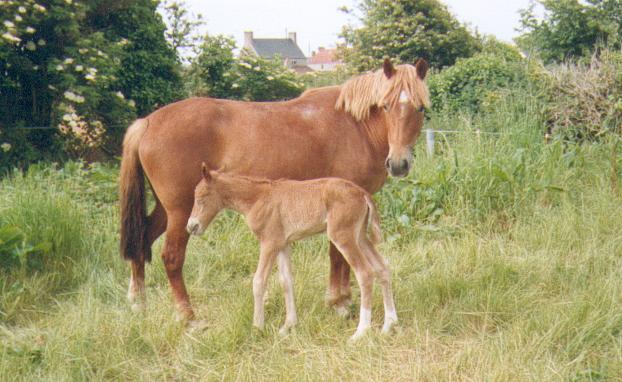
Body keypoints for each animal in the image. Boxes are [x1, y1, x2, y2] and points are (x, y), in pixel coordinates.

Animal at [188, 164, 398, 340]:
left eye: (201, 198)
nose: (191, 226)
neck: (257, 198)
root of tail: (362, 193)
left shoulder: (269, 242)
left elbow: (258, 281)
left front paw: (257, 328)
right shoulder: (283, 244)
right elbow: (286, 281)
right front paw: (288, 326)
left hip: (343, 236)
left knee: (365, 273)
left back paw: (361, 332)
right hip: (360, 236)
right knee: (383, 267)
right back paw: (389, 325)